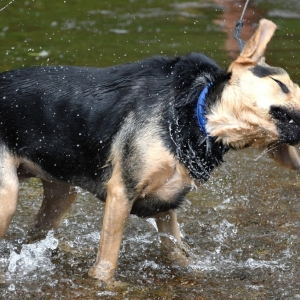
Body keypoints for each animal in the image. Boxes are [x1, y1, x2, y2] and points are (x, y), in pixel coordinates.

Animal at [0, 19, 300, 284]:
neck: (192, 112)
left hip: (61, 193)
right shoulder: (121, 192)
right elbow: (106, 263)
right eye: (281, 85)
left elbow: (179, 256)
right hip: (9, 195)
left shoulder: (166, 206)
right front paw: (105, 286)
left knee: (34, 234)